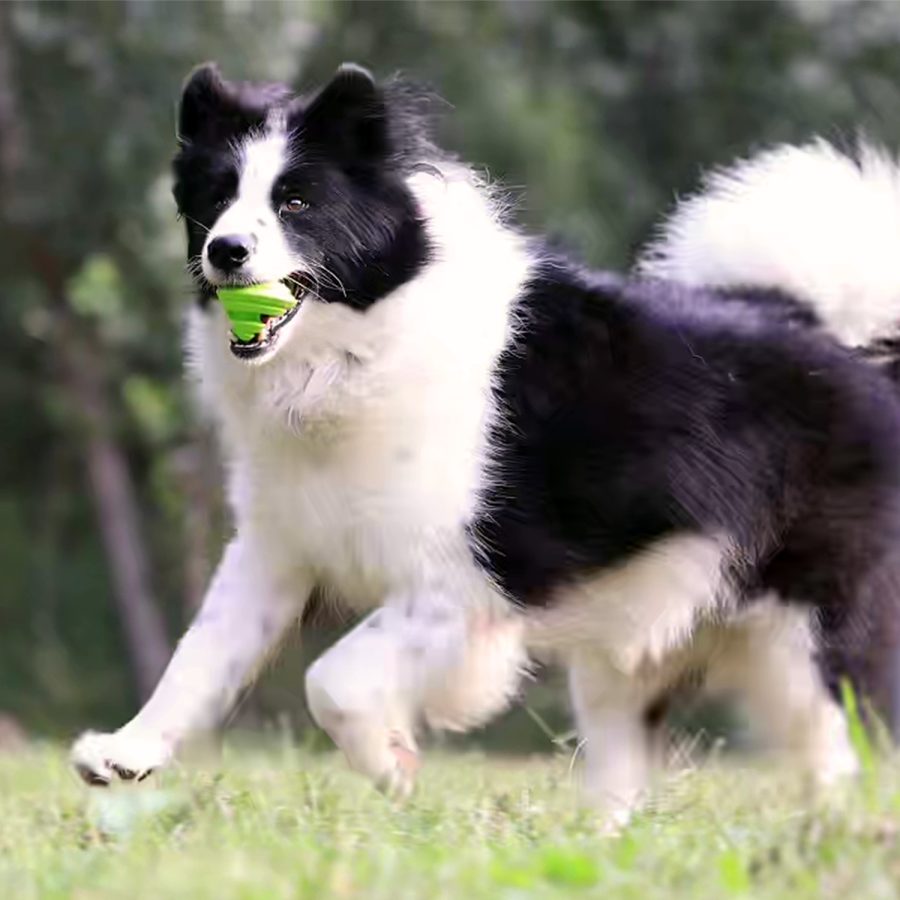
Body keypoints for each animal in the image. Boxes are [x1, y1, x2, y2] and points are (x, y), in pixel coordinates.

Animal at [74, 61, 900, 824]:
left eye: (296, 203)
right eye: (216, 200)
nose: (226, 252)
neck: (356, 349)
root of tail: (841, 339)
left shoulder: (465, 582)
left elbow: (330, 681)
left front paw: (393, 763)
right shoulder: (280, 544)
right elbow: (203, 650)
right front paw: (125, 752)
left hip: (805, 632)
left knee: (835, 738)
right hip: (636, 622)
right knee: (623, 748)